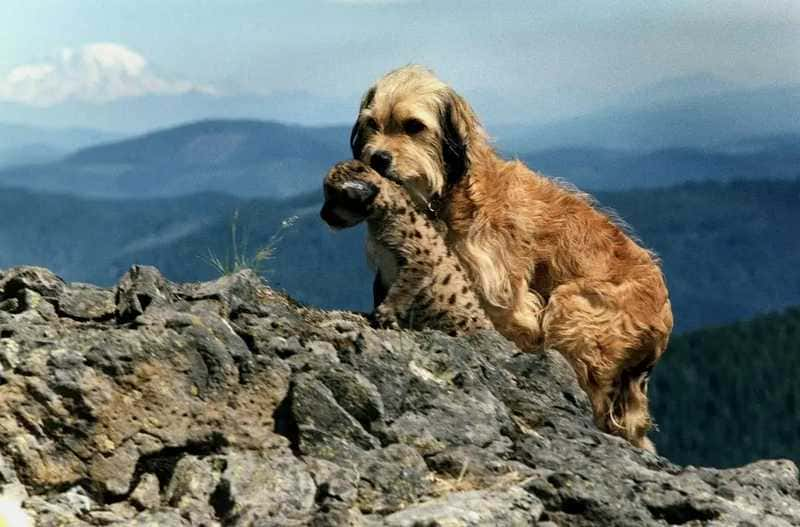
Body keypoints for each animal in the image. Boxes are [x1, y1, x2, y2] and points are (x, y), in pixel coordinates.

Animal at [354, 64, 672, 450]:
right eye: (372, 124)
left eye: (413, 126)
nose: (377, 158)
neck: (449, 194)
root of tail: (664, 321)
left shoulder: (502, 293)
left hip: (574, 310)